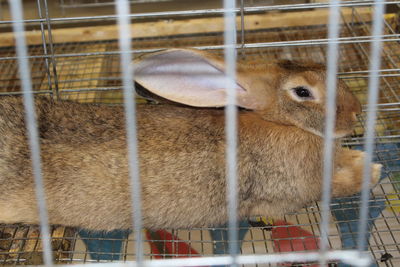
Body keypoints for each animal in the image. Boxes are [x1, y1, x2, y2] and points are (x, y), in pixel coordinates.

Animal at [0, 48, 382, 232]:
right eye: (303, 92)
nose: (356, 113)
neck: (279, 122)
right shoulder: (285, 194)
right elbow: (338, 185)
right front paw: (371, 171)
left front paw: (363, 160)